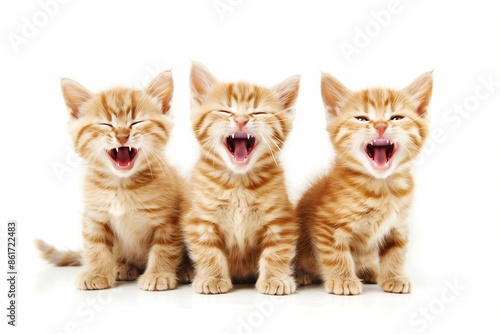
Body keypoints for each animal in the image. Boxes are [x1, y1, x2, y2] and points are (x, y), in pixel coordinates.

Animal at [35, 70, 188, 290]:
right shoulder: (94, 216)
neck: (122, 186)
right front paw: (96, 273)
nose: (122, 136)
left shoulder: (168, 220)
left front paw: (158, 274)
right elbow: (95, 246)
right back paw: (121, 267)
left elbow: (164, 248)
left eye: (136, 122)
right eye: (105, 124)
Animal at [184, 62, 300, 294]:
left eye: (259, 112)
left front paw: (275, 278)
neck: (238, 183)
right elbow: (208, 251)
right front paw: (212, 278)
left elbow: (277, 251)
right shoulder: (200, 219)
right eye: (225, 111)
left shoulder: (280, 220)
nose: (241, 120)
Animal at [294, 71, 432, 294]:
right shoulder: (327, 225)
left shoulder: (398, 225)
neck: (382, 188)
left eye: (396, 118)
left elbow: (396, 252)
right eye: (361, 118)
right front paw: (343, 280)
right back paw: (302, 275)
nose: (381, 126)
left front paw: (393, 277)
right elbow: (336, 254)